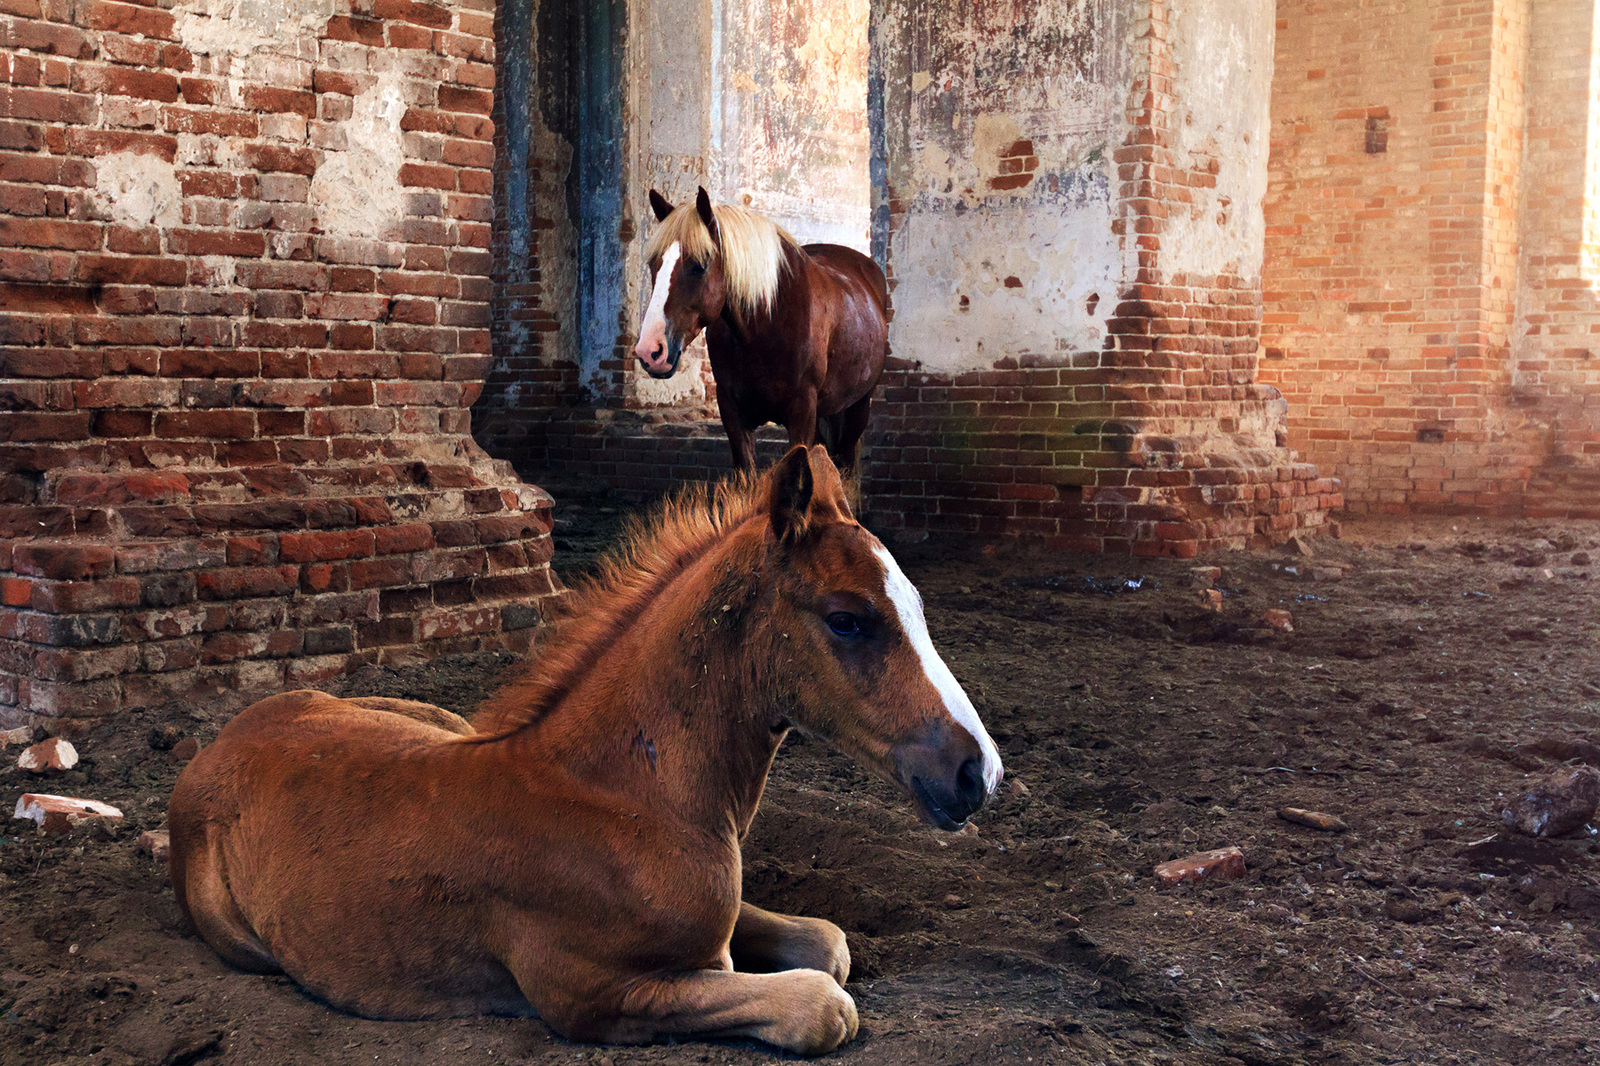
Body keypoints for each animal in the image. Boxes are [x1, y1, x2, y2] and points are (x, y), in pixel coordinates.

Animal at [165, 444, 998, 1049]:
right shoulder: (599, 996)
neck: (625, 796)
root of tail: (222, 740)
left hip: (438, 719)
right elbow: (825, 1005)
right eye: (847, 618)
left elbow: (828, 942)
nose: (977, 771)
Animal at [633, 188, 889, 470]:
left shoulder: (802, 414)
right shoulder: (733, 414)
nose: (650, 351)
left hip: (858, 407)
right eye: (654, 264)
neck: (766, 328)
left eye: (699, 266)